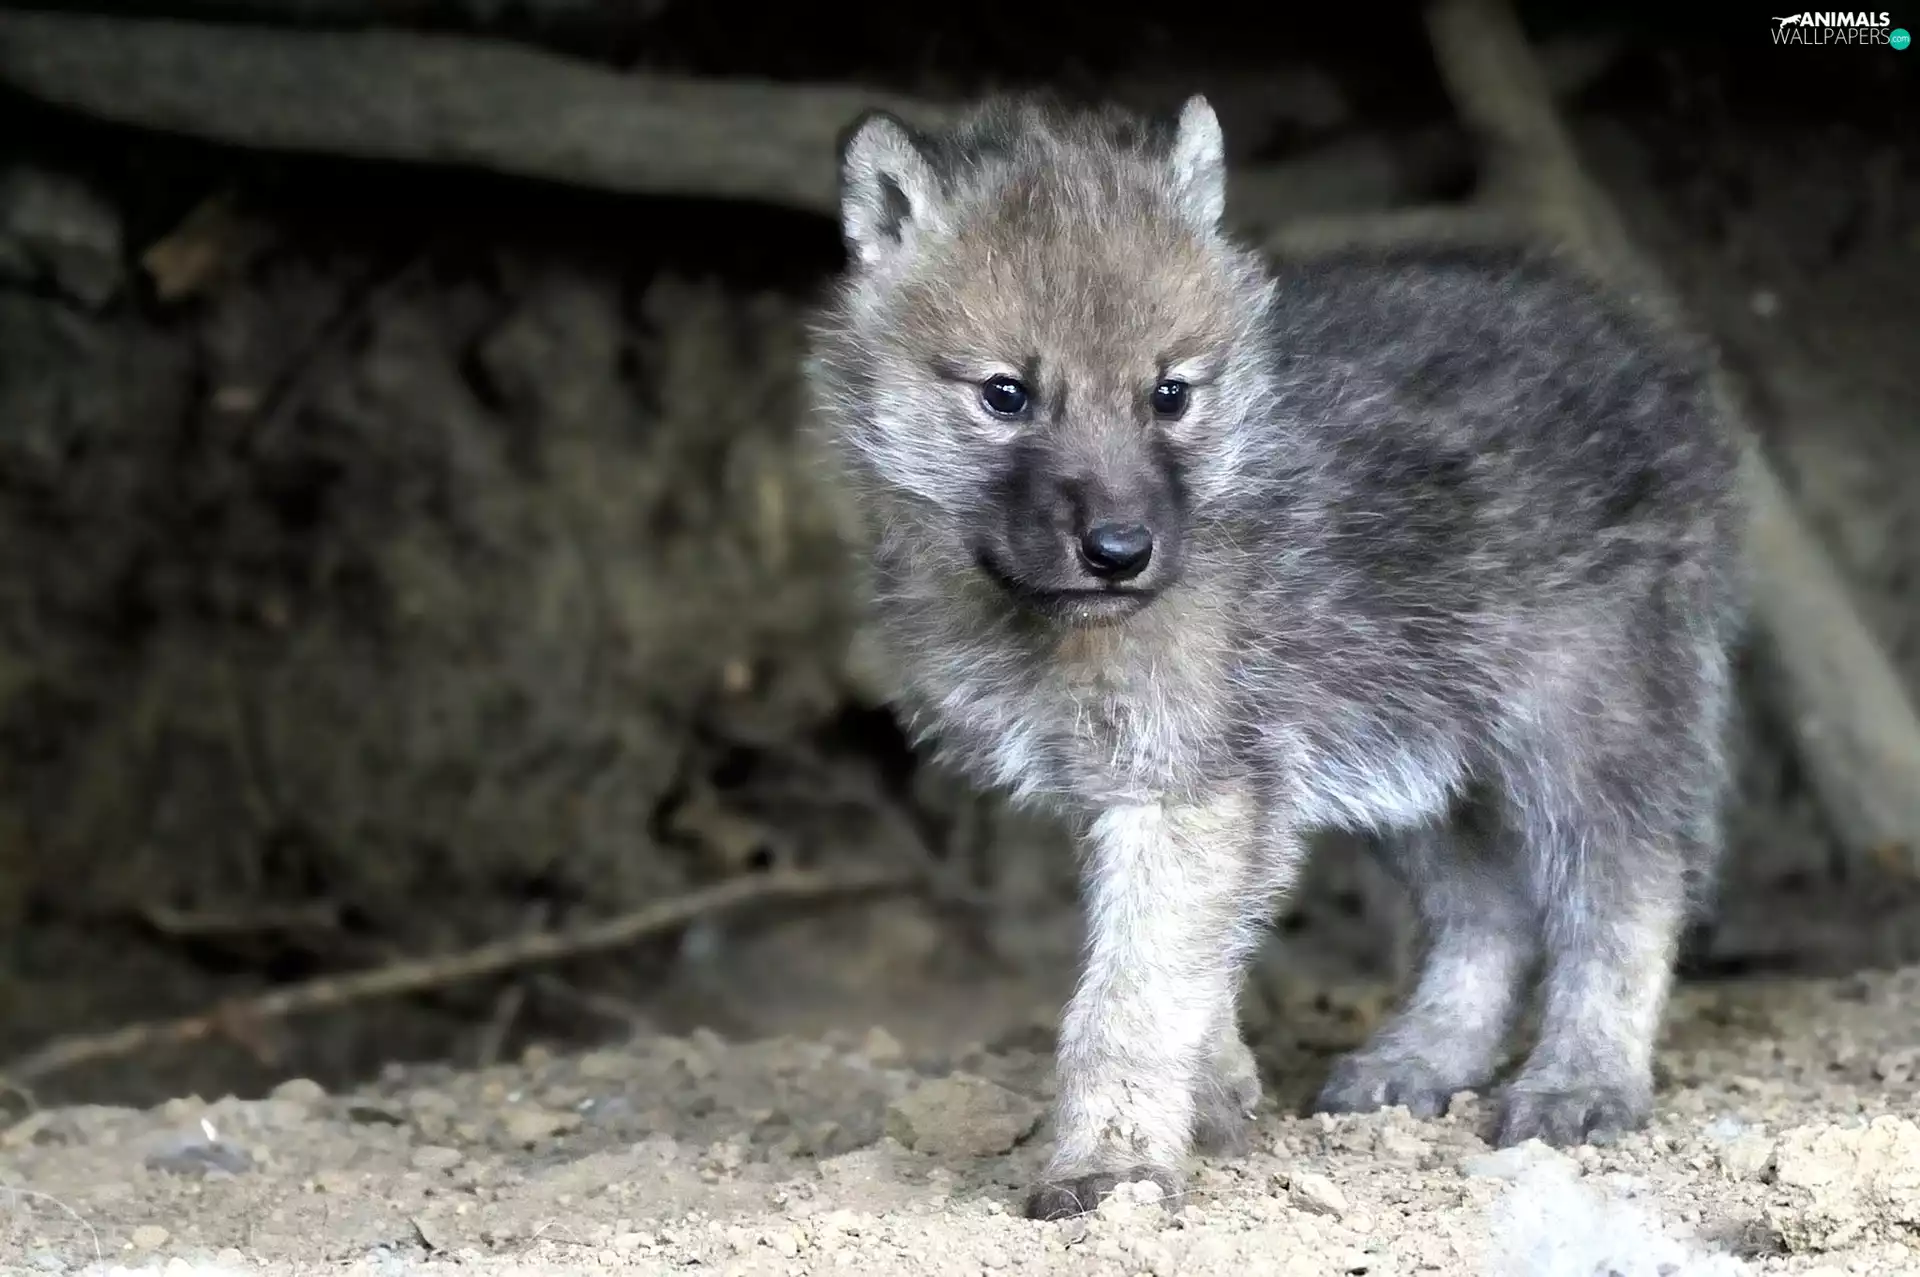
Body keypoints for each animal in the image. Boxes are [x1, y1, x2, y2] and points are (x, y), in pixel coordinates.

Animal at [802, 92, 1743, 1220]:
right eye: (1005, 394)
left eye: (1169, 394)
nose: (1120, 551)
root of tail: (1649, 352)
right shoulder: (1159, 785)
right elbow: (1194, 965)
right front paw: (1214, 1099)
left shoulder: (1188, 787)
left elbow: (1129, 1001)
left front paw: (1113, 1165)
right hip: (1423, 751)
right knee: (1496, 912)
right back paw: (1418, 1060)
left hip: (1586, 718)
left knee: (1626, 889)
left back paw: (1582, 1081)